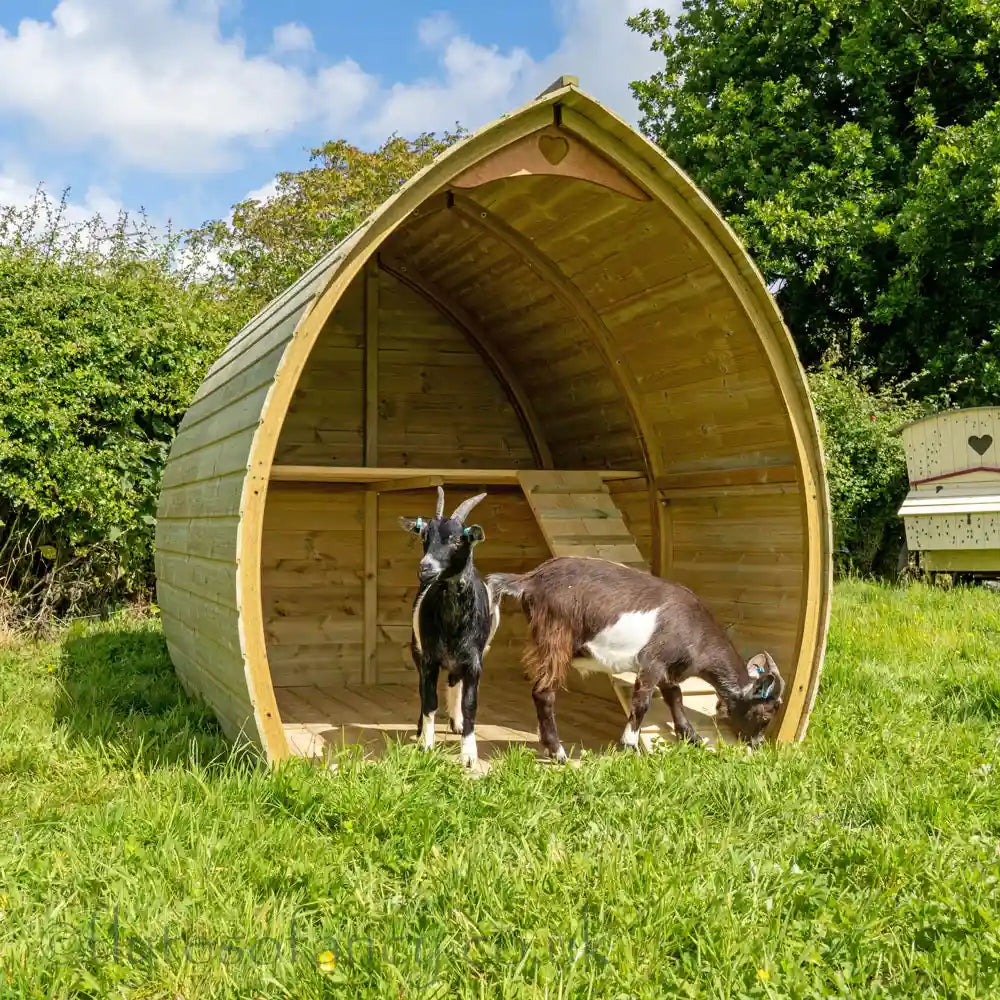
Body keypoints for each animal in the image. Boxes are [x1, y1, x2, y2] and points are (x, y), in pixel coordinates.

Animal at [398, 488, 500, 768]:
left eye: (456, 540)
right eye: (425, 536)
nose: (425, 567)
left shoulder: (474, 661)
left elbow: (470, 703)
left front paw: (469, 754)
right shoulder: (430, 658)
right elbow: (429, 701)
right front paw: (426, 744)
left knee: (455, 682)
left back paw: (457, 723)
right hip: (418, 650)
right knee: (426, 691)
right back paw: (422, 730)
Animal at [488, 560, 784, 760]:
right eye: (765, 715)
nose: (757, 745)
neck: (696, 635)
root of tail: (530, 579)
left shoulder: (668, 670)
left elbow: (676, 699)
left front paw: (693, 738)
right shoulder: (652, 661)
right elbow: (642, 704)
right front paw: (630, 745)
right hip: (555, 637)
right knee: (544, 693)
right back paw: (558, 752)